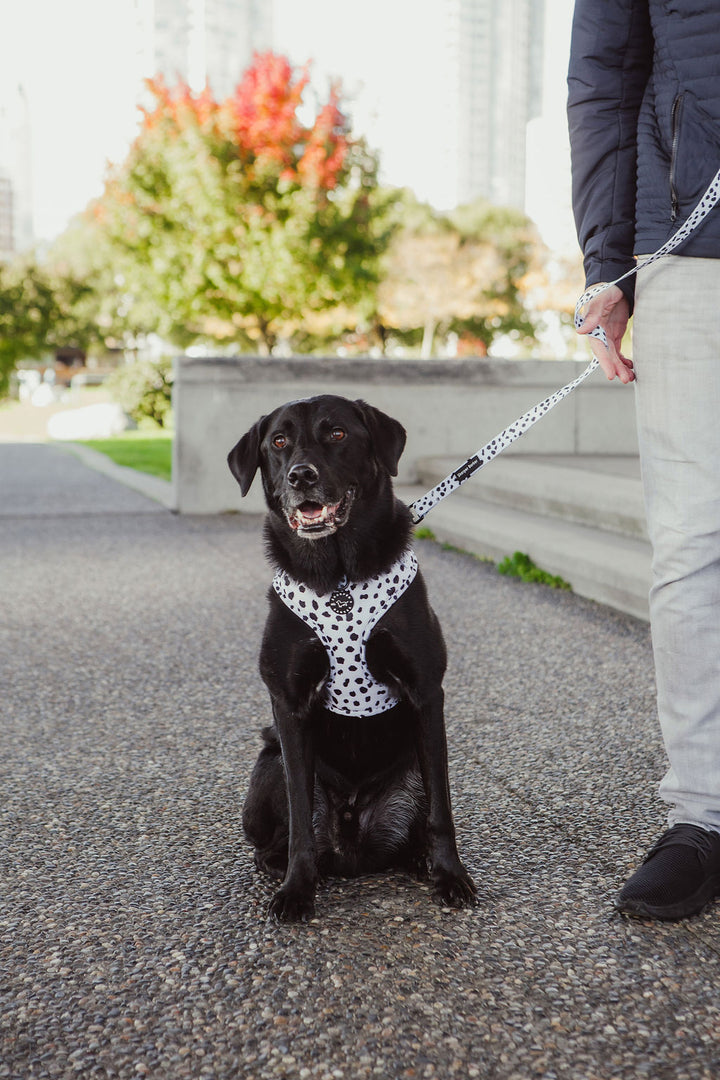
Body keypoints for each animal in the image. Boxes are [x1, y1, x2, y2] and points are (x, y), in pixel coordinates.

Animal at [229, 397, 479, 920]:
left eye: (337, 434)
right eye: (278, 441)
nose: (301, 475)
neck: (339, 575)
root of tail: (352, 847)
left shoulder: (427, 694)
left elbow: (442, 810)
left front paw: (451, 875)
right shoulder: (288, 704)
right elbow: (300, 814)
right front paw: (297, 889)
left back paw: (422, 858)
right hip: (266, 765)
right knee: (278, 836)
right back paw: (282, 866)